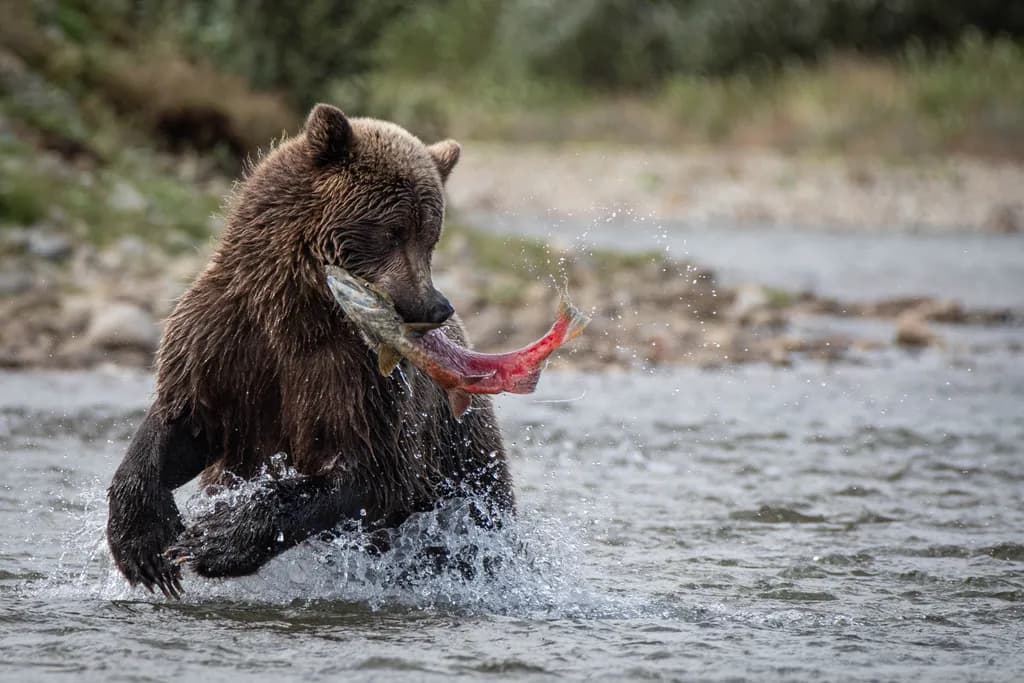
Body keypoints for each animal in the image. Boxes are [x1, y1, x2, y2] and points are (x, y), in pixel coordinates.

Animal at [105, 104, 514, 598]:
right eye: (393, 231)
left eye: (430, 237)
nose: (436, 306)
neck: (300, 309)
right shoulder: (225, 339)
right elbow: (185, 423)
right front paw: (144, 543)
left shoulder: (364, 380)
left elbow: (375, 472)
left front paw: (217, 538)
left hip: (470, 475)